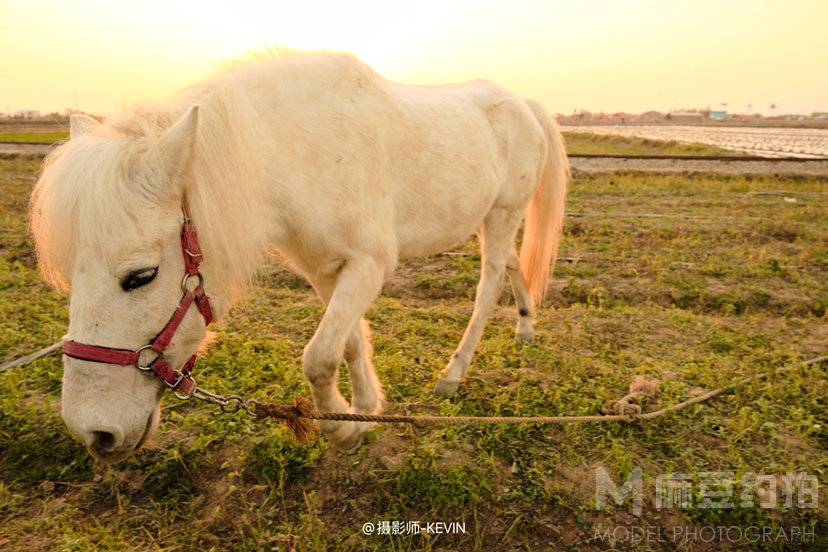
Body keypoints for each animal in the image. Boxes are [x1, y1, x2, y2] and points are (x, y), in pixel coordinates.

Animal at [29, 51, 568, 460]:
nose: (93, 433)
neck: (303, 151)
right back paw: (525, 326)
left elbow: (320, 357)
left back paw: (454, 375)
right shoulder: (324, 269)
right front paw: (364, 411)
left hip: (502, 214)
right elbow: (349, 344)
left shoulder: (369, 264)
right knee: (513, 265)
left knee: (487, 287)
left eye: (141, 275)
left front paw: (343, 430)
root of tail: (523, 104)